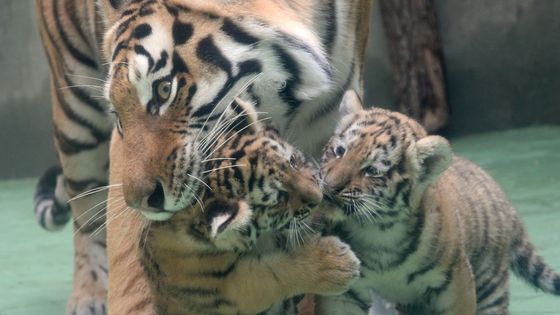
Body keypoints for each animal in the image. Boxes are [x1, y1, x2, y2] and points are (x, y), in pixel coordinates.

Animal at [35, 1, 372, 314]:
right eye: (118, 113)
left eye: (164, 89)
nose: (142, 202)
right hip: (76, 119)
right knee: (86, 218)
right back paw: (89, 294)